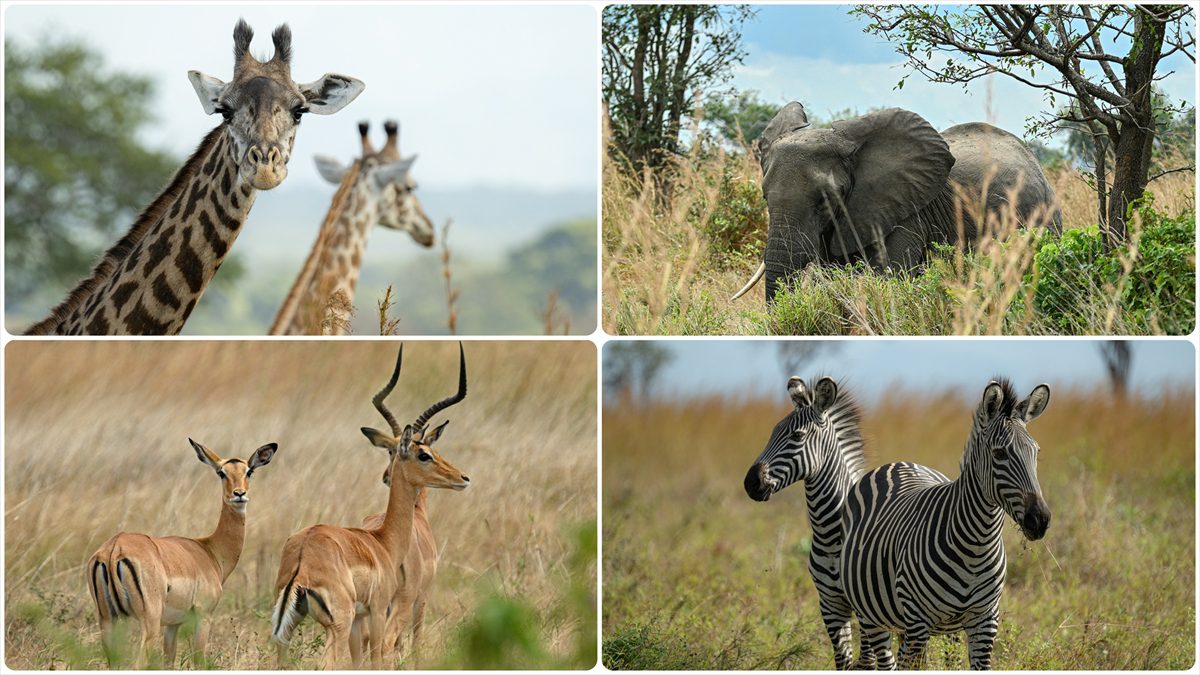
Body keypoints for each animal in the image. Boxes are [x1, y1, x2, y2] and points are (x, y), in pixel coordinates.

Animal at [734, 372, 868, 667]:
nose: (750, 483)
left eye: (797, 436)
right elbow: (844, 661)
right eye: (772, 432)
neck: (831, 536)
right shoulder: (829, 605)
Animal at [835, 379, 1051, 667]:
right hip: (873, 617)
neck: (976, 545)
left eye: (1036, 452)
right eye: (999, 453)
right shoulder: (917, 620)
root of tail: (897, 463)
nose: (1040, 520)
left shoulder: (985, 620)